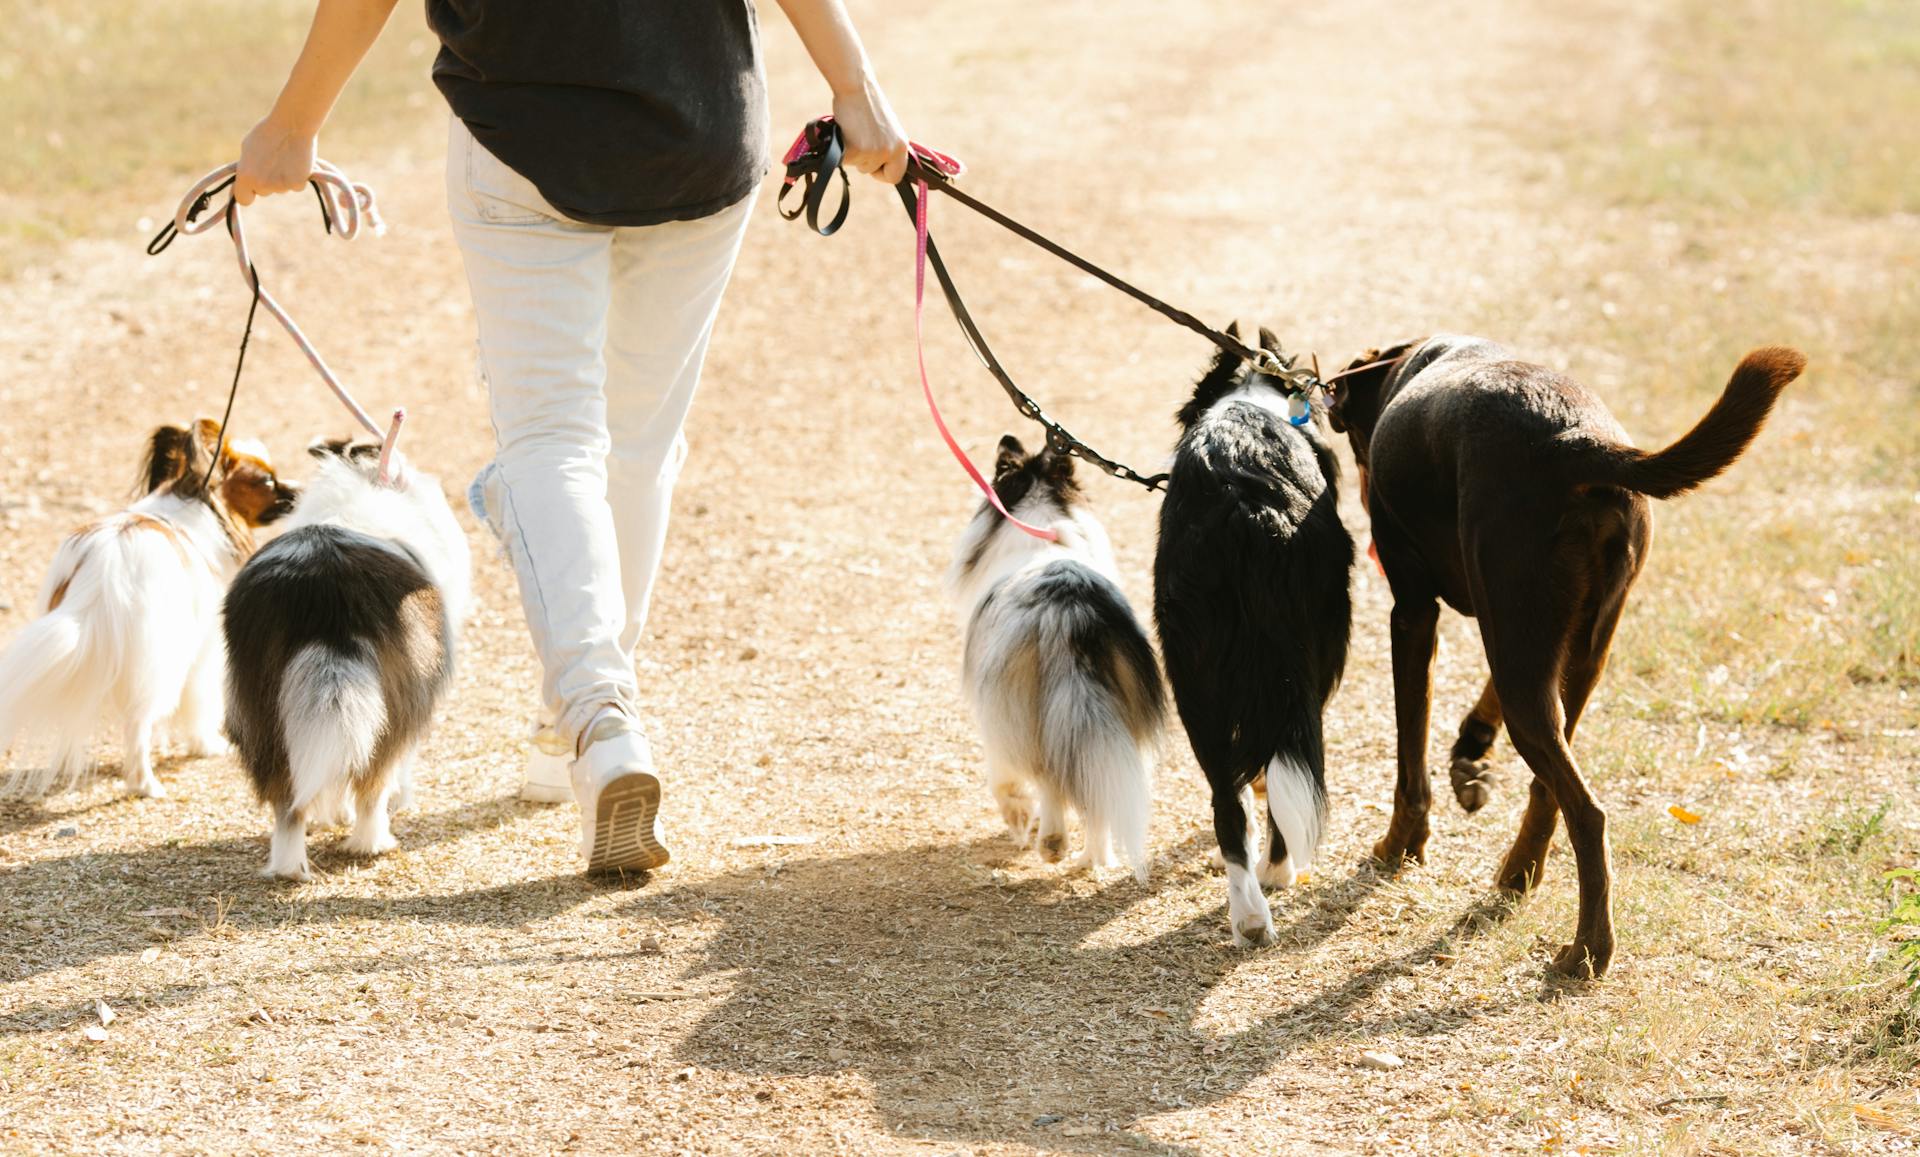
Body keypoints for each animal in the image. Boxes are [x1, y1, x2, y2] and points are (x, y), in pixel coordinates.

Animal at [218, 439, 468, 882]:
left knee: (287, 798)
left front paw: (331, 814)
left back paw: (288, 864)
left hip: (259, 707)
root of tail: (324, 591)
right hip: (400, 701)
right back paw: (373, 843)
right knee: (374, 779)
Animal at [948, 439, 1159, 882]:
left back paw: (1052, 843)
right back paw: (1092, 857)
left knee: (1049, 776)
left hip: (1015, 708)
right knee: (1100, 787)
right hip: (1121, 719)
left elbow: (1007, 784)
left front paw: (1019, 820)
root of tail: (1070, 612)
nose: (1008, 438)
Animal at [1152, 330, 1351, 947]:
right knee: (1288, 764)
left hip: (1191, 673)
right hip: (1305, 657)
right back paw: (1276, 875)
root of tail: (1244, 503)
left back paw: (1247, 914)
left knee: (1224, 799)